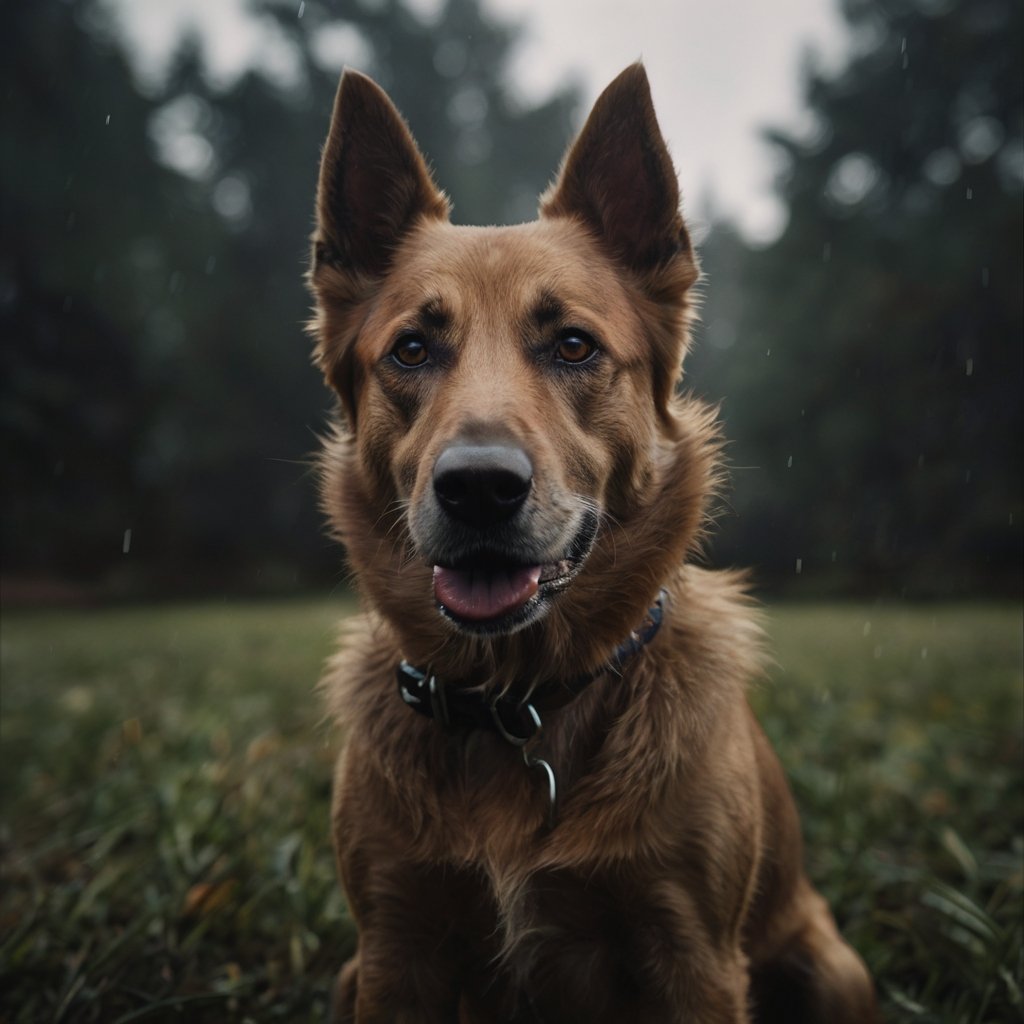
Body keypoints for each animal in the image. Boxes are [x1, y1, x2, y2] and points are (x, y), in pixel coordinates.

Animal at [307, 64, 876, 1024]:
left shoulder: (695, 957)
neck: (519, 700)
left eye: (573, 345)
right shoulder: (393, 951)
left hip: (831, 969)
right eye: (412, 350)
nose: (479, 488)